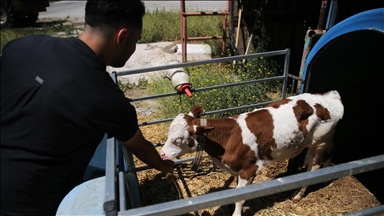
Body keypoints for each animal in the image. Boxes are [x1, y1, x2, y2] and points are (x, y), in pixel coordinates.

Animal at [158, 90, 342, 216]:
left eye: (178, 140)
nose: (162, 155)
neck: (228, 137)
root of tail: (331, 96)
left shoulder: (250, 168)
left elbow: (241, 197)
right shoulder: (238, 168)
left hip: (319, 142)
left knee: (314, 167)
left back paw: (298, 194)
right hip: (323, 141)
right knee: (330, 153)